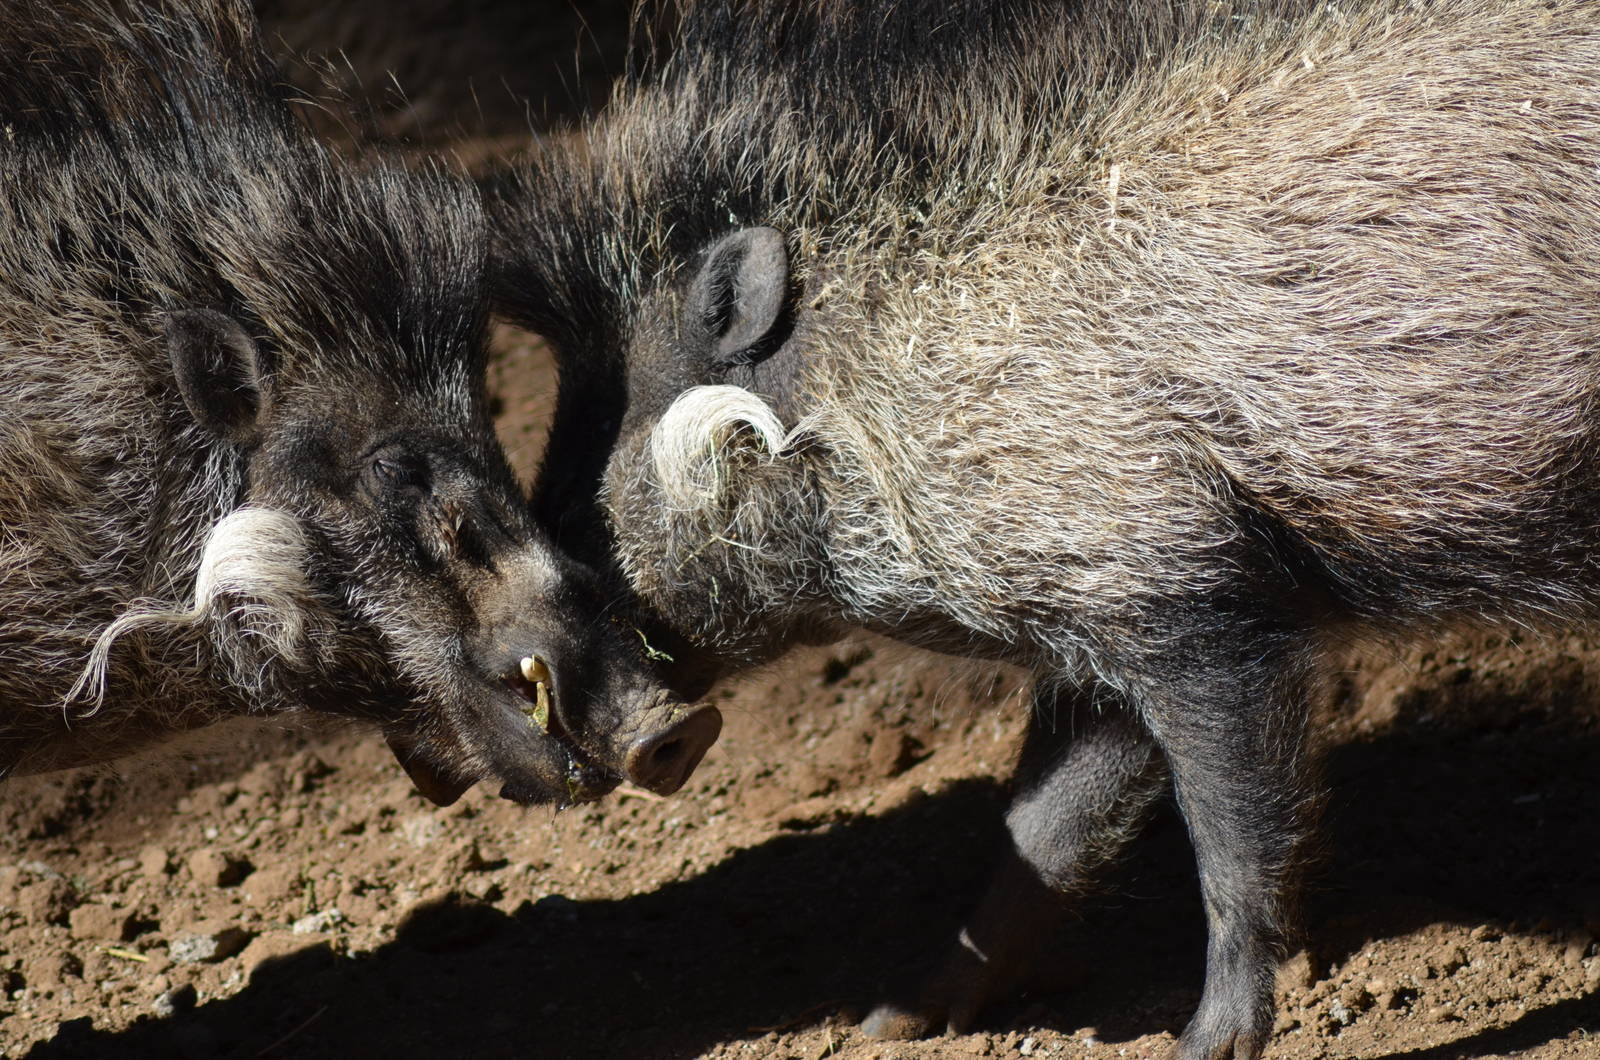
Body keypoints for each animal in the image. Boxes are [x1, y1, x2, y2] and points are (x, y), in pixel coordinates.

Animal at [487, 0, 1600, 1055]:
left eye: (604, 456)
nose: (645, 741)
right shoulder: (1100, 644)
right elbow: (1041, 836)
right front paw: (892, 1022)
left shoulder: (1199, 609)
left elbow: (1233, 842)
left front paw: (1205, 1045)